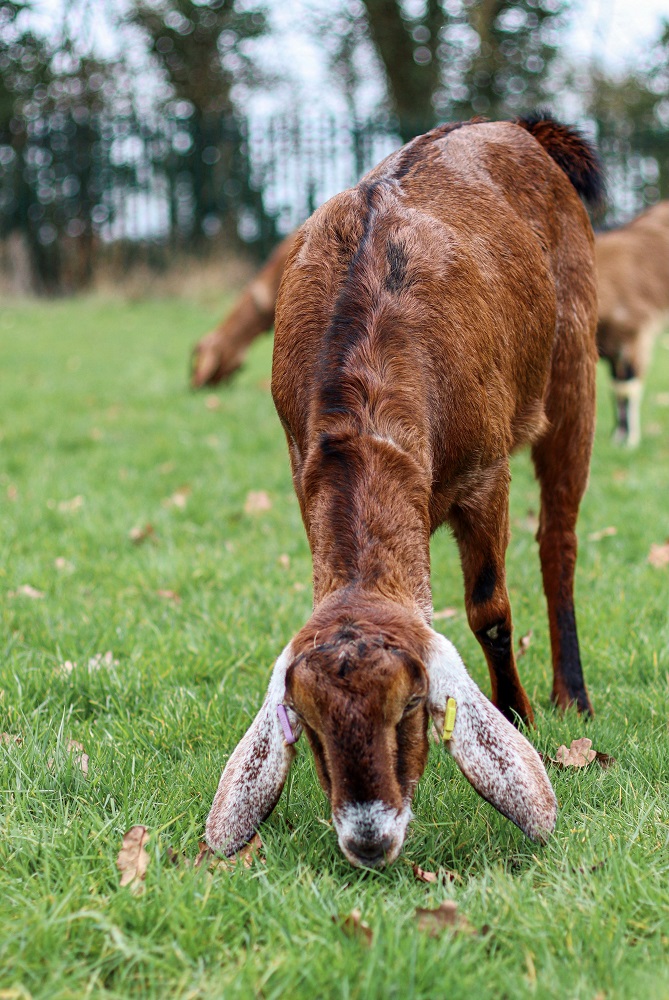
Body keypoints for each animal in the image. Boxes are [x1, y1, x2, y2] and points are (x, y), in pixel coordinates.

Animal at [206, 115, 604, 868]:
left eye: (411, 707)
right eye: (307, 725)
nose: (369, 837)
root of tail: (522, 127)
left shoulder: (485, 469)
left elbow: (489, 608)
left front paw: (516, 716)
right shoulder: (298, 463)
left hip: (575, 360)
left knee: (559, 539)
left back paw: (572, 698)